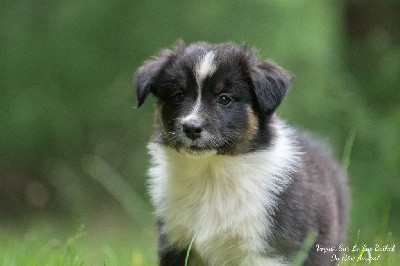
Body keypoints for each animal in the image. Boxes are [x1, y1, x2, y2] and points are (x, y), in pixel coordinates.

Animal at [136, 41, 348, 266]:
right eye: (178, 95)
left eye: (224, 99)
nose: (191, 128)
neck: (211, 174)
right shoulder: (175, 241)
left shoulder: (266, 251)